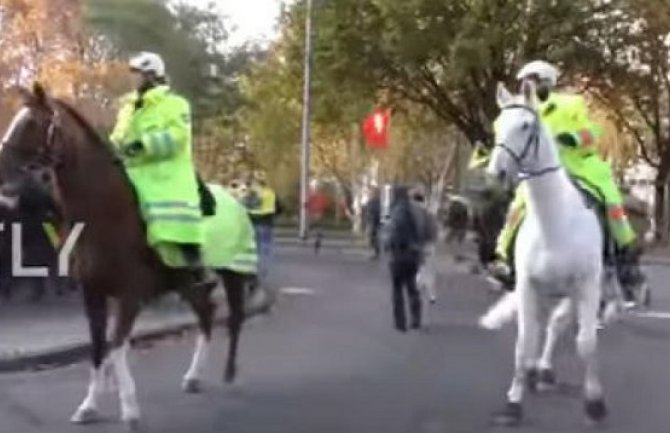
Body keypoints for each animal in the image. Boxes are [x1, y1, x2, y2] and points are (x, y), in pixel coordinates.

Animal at [0, 83, 252, 428]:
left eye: (32, 123)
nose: (1, 167)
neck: (107, 214)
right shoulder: (92, 294)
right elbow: (98, 346)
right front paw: (89, 405)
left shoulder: (129, 295)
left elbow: (117, 344)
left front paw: (129, 408)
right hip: (186, 283)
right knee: (207, 313)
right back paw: (193, 376)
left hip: (233, 274)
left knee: (235, 317)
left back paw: (228, 372)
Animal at [486, 81, 612, 426]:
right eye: (496, 125)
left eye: (525, 125)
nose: (496, 174)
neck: (555, 222)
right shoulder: (528, 285)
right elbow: (524, 342)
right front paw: (514, 402)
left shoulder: (586, 285)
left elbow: (586, 343)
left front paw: (594, 402)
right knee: (546, 326)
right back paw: (535, 370)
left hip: (576, 290)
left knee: (557, 325)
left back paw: (543, 370)